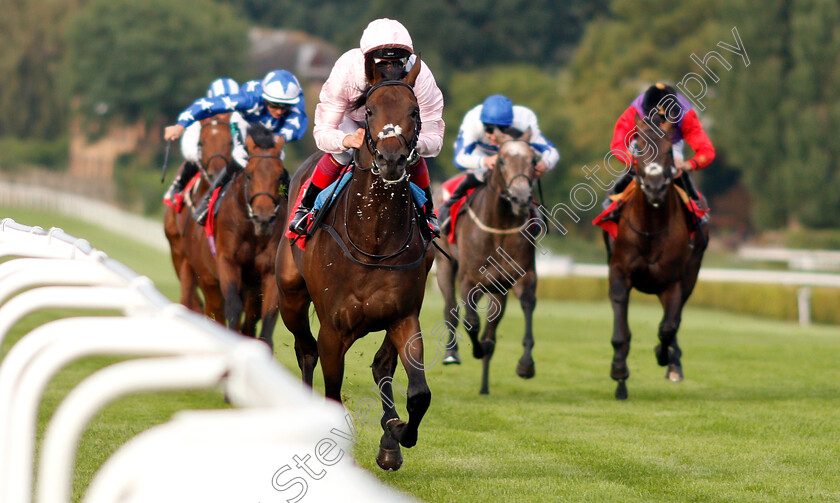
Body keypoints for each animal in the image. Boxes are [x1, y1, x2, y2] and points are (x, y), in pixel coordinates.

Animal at [276, 57, 436, 470]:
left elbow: (418, 392)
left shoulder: (404, 316)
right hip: (291, 298)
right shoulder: (333, 331)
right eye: (369, 111)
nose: (391, 159)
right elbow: (331, 392)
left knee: (382, 365)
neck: (373, 241)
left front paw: (397, 434)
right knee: (305, 349)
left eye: (414, 111)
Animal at [434, 132, 540, 396]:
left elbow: (526, 307)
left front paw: (526, 364)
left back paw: (484, 385)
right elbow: (471, 322)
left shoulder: (517, 278)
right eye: (501, 161)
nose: (521, 198)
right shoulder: (469, 278)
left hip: (494, 288)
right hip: (444, 265)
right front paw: (476, 348)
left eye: (533, 161)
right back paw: (452, 353)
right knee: (451, 309)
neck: (499, 225)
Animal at [604, 115, 708, 402]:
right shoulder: (619, 270)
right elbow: (621, 330)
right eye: (639, 147)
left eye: (669, 151)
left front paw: (665, 357)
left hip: (691, 274)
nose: (654, 187)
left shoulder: (672, 281)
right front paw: (619, 372)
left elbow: (668, 327)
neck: (651, 228)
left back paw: (673, 364)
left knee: (675, 319)